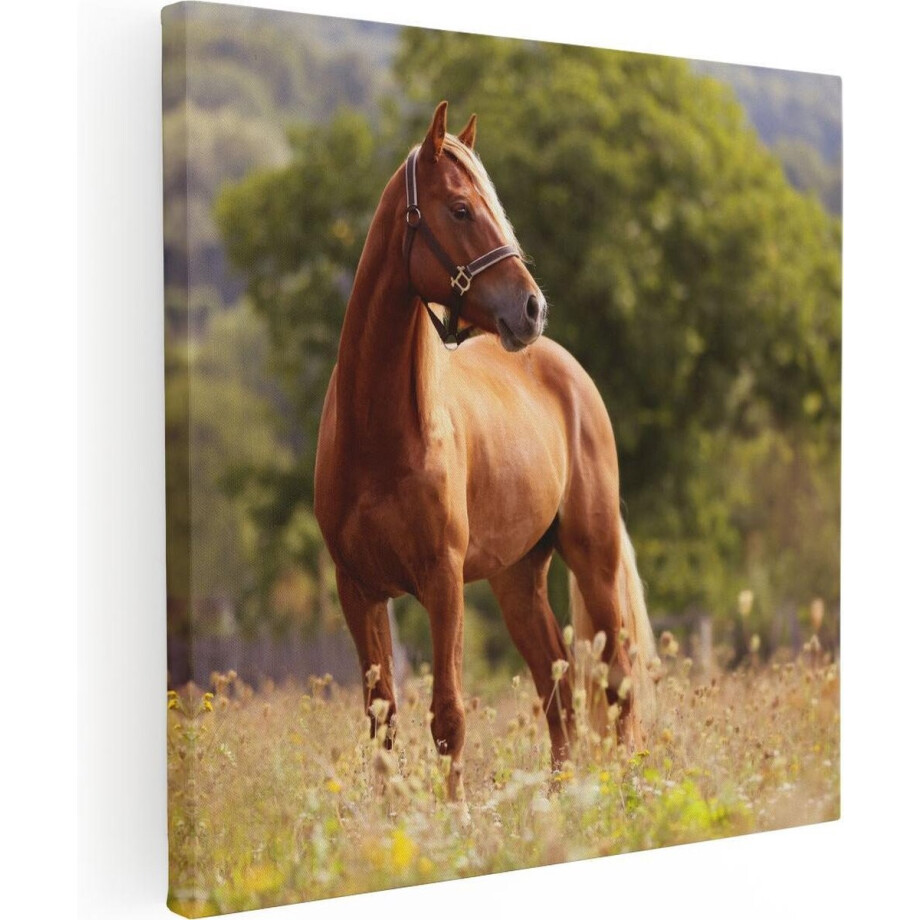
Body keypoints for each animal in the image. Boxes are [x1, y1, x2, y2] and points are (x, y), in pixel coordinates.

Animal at [314, 101, 657, 800]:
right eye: (460, 209)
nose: (531, 309)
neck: (379, 433)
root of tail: (567, 370)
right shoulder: (356, 589)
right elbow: (381, 721)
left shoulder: (442, 580)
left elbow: (448, 715)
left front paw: (456, 817)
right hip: (517, 578)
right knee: (559, 691)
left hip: (594, 557)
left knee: (616, 685)